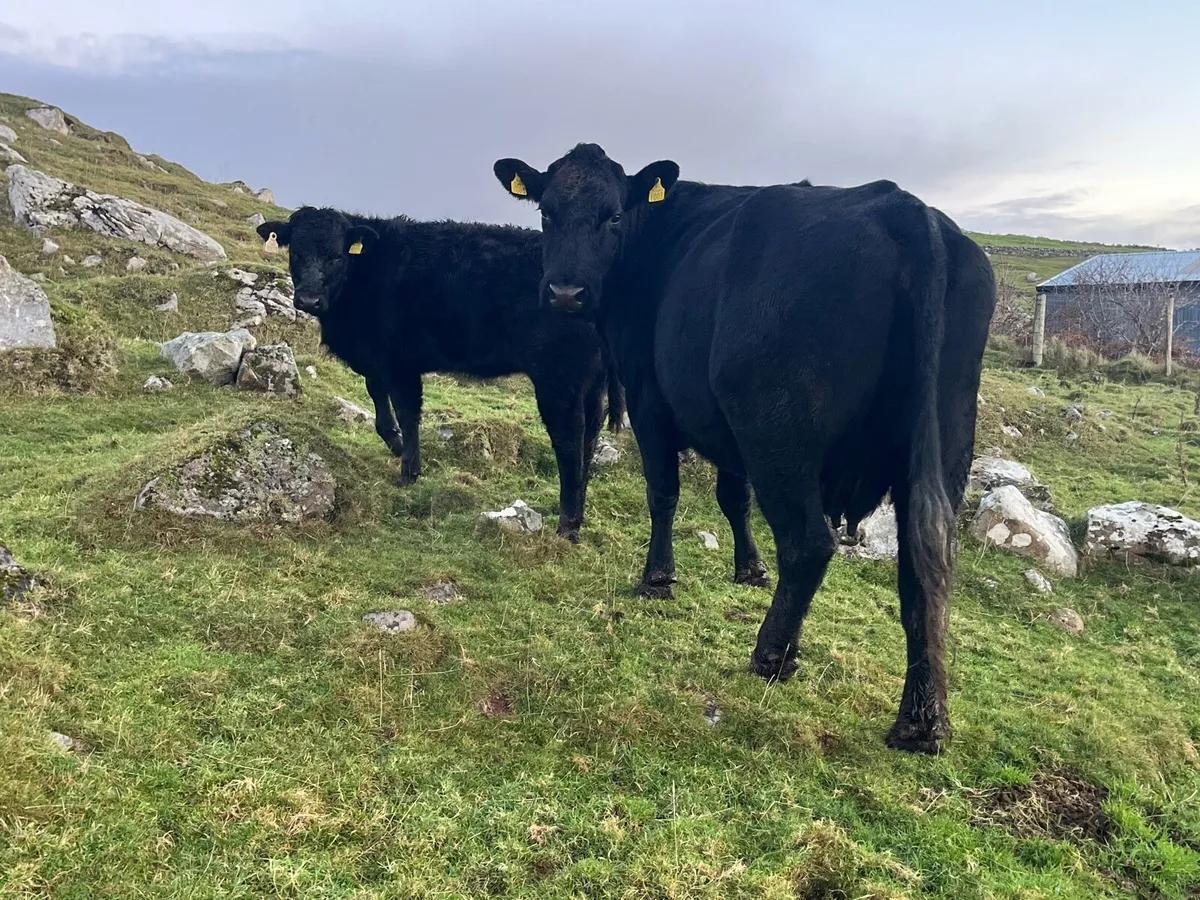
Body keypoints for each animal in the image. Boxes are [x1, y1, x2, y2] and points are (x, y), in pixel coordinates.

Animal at [254, 207, 626, 542]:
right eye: (297, 252)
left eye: (335, 256)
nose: (308, 300)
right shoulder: (377, 358)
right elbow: (380, 402)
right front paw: (396, 446)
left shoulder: (401, 363)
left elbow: (408, 413)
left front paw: (408, 472)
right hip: (591, 382)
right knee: (590, 435)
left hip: (559, 379)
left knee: (569, 441)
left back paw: (567, 526)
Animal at [493, 144, 995, 753]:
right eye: (546, 212)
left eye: (611, 215)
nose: (566, 292)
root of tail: (904, 208)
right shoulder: (724, 431)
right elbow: (734, 498)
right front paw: (749, 568)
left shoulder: (650, 401)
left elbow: (663, 493)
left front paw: (657, 579)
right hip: (941, 445)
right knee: (924, 567)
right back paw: (921, 721)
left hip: (776, 428)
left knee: (809, 544)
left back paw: (772, 654)